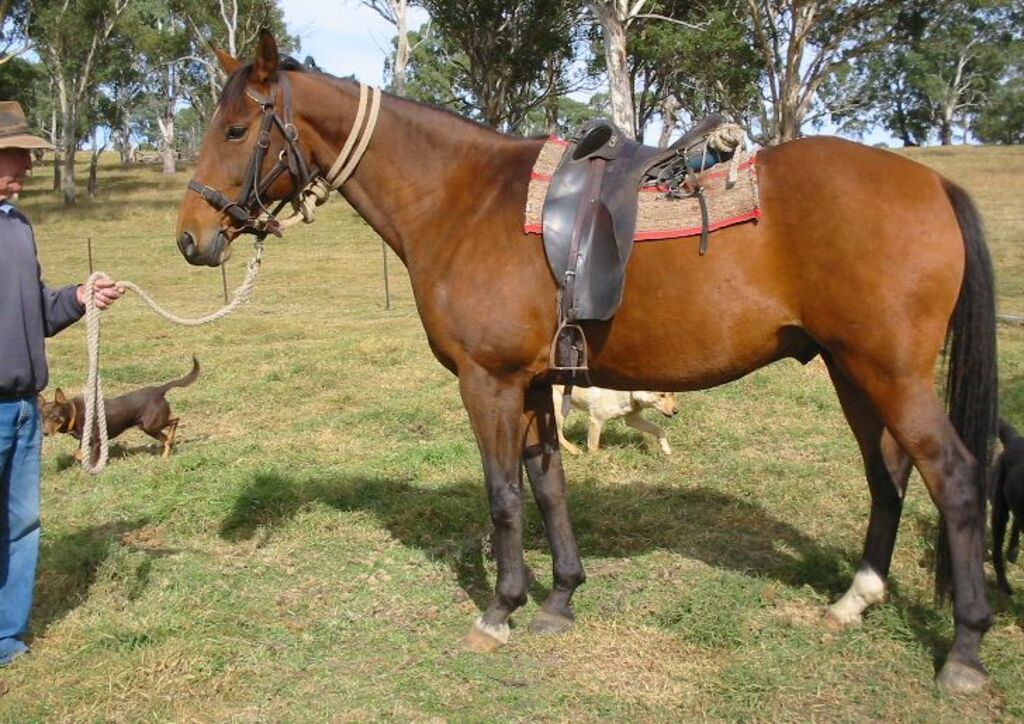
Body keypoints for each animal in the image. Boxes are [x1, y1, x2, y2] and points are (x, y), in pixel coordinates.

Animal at [174, 31, 998, 695]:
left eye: (238, 128)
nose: (190, 237)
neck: (462, 198)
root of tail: (932, 182)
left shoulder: (489, 383)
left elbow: (504, 495)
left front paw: (501, 609)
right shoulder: (538, 384)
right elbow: (549, 486)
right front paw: (561, 598)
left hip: (889, 373)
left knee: (956, 479)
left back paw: (964, 651)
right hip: (851, 370)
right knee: (887, 474)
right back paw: (854, 600)